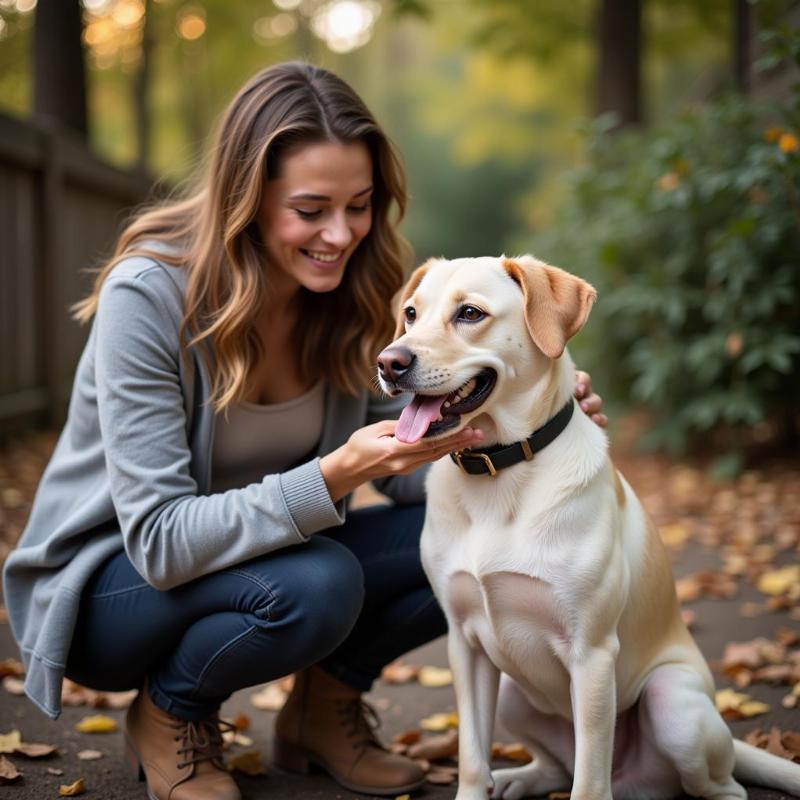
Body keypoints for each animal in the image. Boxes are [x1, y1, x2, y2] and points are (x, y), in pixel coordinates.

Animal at [376, 258, 800, 800]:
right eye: (410, 313)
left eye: (470, 313)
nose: (388, 362)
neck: (500, 471)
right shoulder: (464, 646)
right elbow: (472, 754)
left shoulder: (593, 655)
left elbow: (590, 778)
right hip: (512, 691)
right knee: (557, 766)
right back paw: (519, 778)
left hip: (673, 705)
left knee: (716, 786)